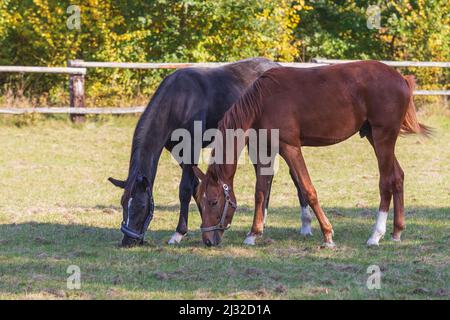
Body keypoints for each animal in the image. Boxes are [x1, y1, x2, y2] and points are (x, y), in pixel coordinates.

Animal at [108, 58, 312, 248]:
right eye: (123, 203)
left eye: (141, 206)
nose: (128, 241)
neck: (179, 100)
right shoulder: (177, 151)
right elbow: (196, 186)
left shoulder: (191, 146)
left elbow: (185, 189)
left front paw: (179, 233)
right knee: (265, 177)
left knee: (294, 177)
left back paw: (305, 226)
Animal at [192, 60, 430, 248]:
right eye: (199, 202)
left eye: (213, 202)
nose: (208, 240)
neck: (263, 101)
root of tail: (401, 78)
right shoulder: (265, 151)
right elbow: (260, 191)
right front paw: (253, 234)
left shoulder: (290, 148)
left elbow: (308, 189)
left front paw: (327, 234)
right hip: (374, 136)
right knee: (397, 176)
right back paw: (396, 231)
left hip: (383, 137)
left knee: (386, 181)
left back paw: (376, 236)